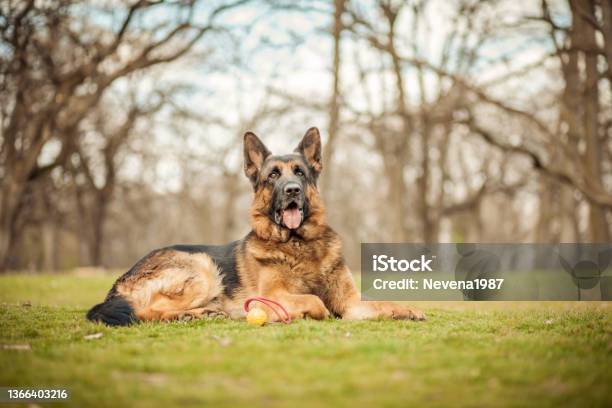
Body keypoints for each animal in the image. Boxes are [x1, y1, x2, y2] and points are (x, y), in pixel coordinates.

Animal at [87, 129, 426, 326]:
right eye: (273, 176)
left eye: (300, 173)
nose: (292, 190)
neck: (300, 244)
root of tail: (119, 283)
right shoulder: (275, 296)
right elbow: (316, 302)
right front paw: (304, 313)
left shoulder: (352, 303)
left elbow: (380, 303)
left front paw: (408, 309)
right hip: (202, 267)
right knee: (146, 312)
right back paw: (192, 314)